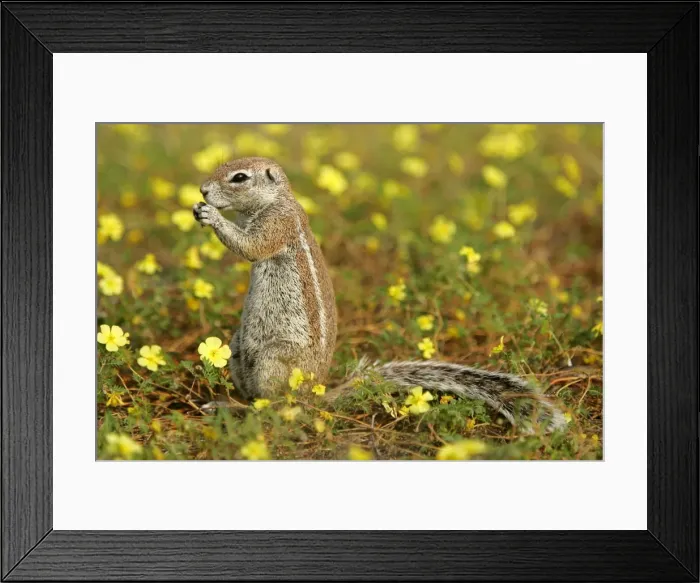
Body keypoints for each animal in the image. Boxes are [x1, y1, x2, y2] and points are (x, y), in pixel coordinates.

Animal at [193, 156, 566, 431]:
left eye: (239, 177)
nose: (203, 190)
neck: (277, 199)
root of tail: (315, 394)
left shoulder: (277, 225)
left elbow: (251, 247)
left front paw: (212, 217)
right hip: (238, 347)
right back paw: (226, 404)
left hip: (274, 360)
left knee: (276, 407)